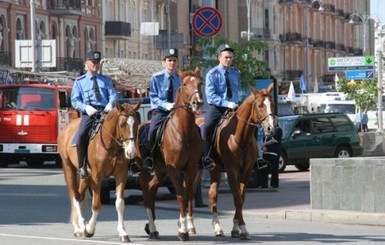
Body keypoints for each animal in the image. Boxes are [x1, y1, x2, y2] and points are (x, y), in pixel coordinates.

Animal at [57, 100, 141, 242]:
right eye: (122, 124)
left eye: (136, 123)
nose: (131, 152)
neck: (111, 146)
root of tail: (66, 129)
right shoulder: (97, 177)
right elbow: (96, 205)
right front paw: (90, 229)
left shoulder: (121, 175)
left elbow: (120, 203)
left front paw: (122, 232)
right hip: (69, 169)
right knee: (74, 196)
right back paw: (80, 227)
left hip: (85, 176)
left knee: (79, 196)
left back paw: (79, 226)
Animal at [138, 67, 204, 241]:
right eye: (185, 84)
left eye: (200, 83)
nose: (197, 103)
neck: (184, 132)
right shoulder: (174, 169)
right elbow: (181, 195)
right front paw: (183, 231)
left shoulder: (191, 169)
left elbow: (187, 195)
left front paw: (184, 225)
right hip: (146, 169)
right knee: (146, 192)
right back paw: (152, 227)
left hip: (160, 171)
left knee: (151, 189)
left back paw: (150, 227)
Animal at [196, 83, 274, 240]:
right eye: (260, 105)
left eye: (272, 104)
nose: (271, 128)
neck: (240, 137)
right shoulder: (231, 171)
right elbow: (237, 198)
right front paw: (242, 229)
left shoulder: (246, 171)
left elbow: (241, 198)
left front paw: (237, 228)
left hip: (214, 170)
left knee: (212, 195)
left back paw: (217, 227)